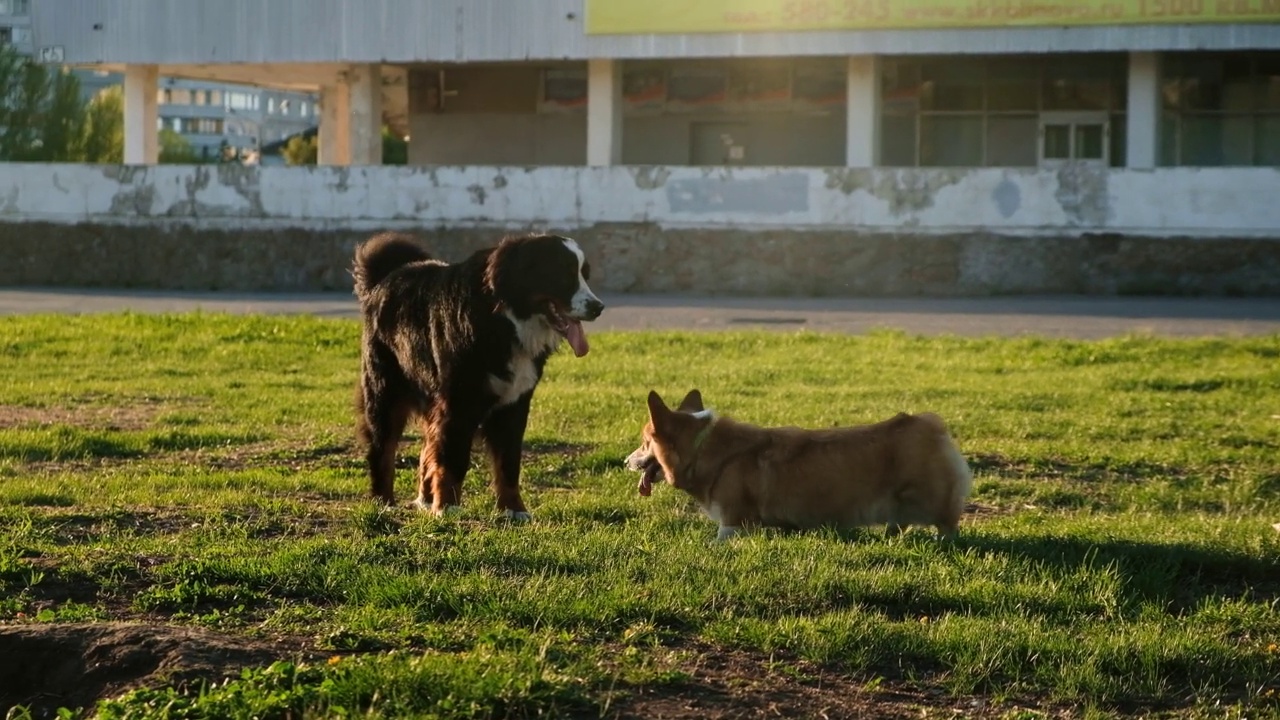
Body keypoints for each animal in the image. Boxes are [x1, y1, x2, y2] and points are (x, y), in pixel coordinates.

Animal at [353, 229, 606, 515]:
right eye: (564, 273)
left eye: (584, 275)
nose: (598, 307)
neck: (506, 321)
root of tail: (385, 278)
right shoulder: (458, 404)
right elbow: (453, 459)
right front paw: (448, 506)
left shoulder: (514, 405)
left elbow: (508, 464)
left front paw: (513, 508)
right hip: (385, 395)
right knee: (382, 450)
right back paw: (384, 502)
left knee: (427, 447)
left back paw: (425, 499)